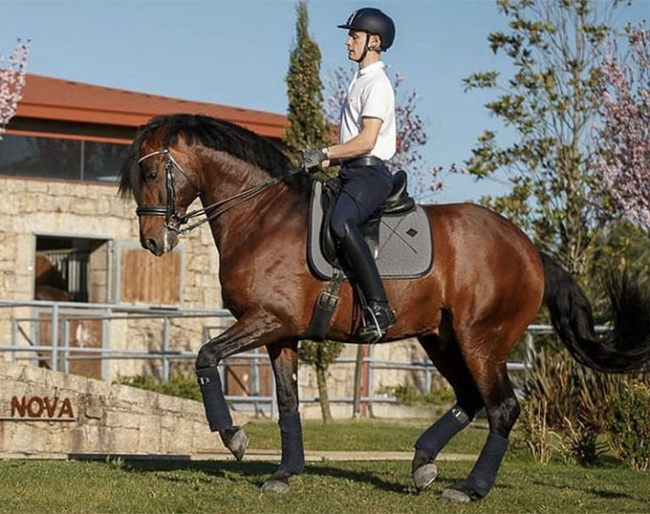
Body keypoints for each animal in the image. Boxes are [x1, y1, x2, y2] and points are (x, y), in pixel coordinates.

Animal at [117, 112, 648, 500]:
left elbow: (205, 356)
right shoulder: (280, 332)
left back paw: (469, 488)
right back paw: (423, 463)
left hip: (481, 339)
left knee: (501, 408)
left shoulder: (267, 321)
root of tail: (529, 248)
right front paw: (286, 473)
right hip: (441, 339)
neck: (261, 216)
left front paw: (232, 436)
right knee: (471, 399)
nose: (152, 242)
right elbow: (287, 401)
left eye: (150, 171)